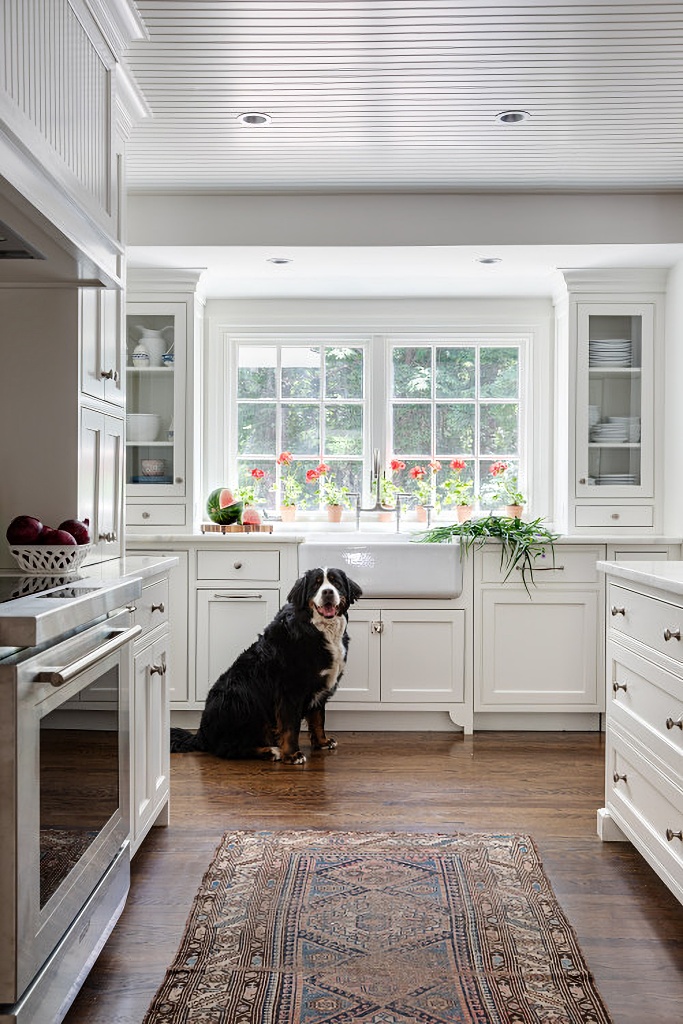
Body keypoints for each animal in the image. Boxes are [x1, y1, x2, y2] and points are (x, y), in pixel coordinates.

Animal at [169, 573, 362, 765]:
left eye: (336, 582)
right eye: (316, 585)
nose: (328, 592)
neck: (318, 628)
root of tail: (201, 733)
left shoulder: (320, 686)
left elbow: (318, 719)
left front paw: (322, 742)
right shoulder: (289, 691)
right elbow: (290, 727)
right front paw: (292, 754)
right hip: (240, 703)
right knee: (229, 748)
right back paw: (271, 751)